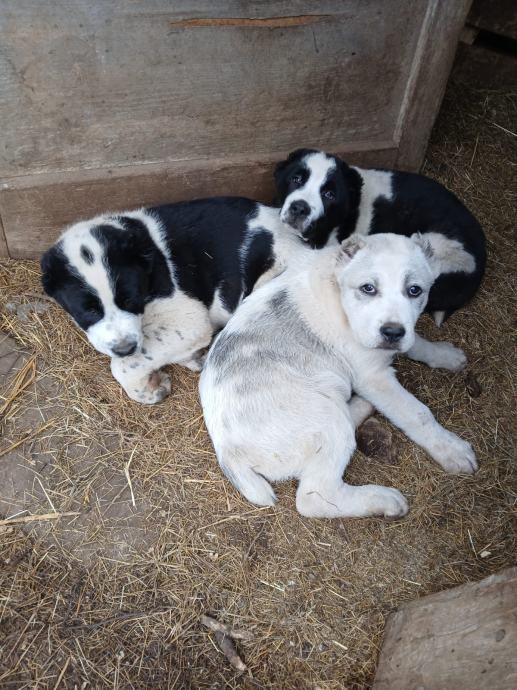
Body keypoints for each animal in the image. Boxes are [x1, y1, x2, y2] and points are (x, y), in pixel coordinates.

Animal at [41, 196, 340, 403]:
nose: (125, 347)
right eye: (88, 311)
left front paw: (149, 388)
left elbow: (125, 365)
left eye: (131, 298)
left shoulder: (189, 320)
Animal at [200, 233, 477, 518]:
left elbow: (416, 342)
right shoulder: (373, 377)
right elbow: (417, 413)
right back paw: (384, 500)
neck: (339, 292)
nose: (391, 332)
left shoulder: (401, 336)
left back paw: (361, 406)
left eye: (415, 290)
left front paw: (445, 355)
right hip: (326, 421)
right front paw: (452, 450)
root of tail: (229, 454)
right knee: (315, 497)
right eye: (368, 288)